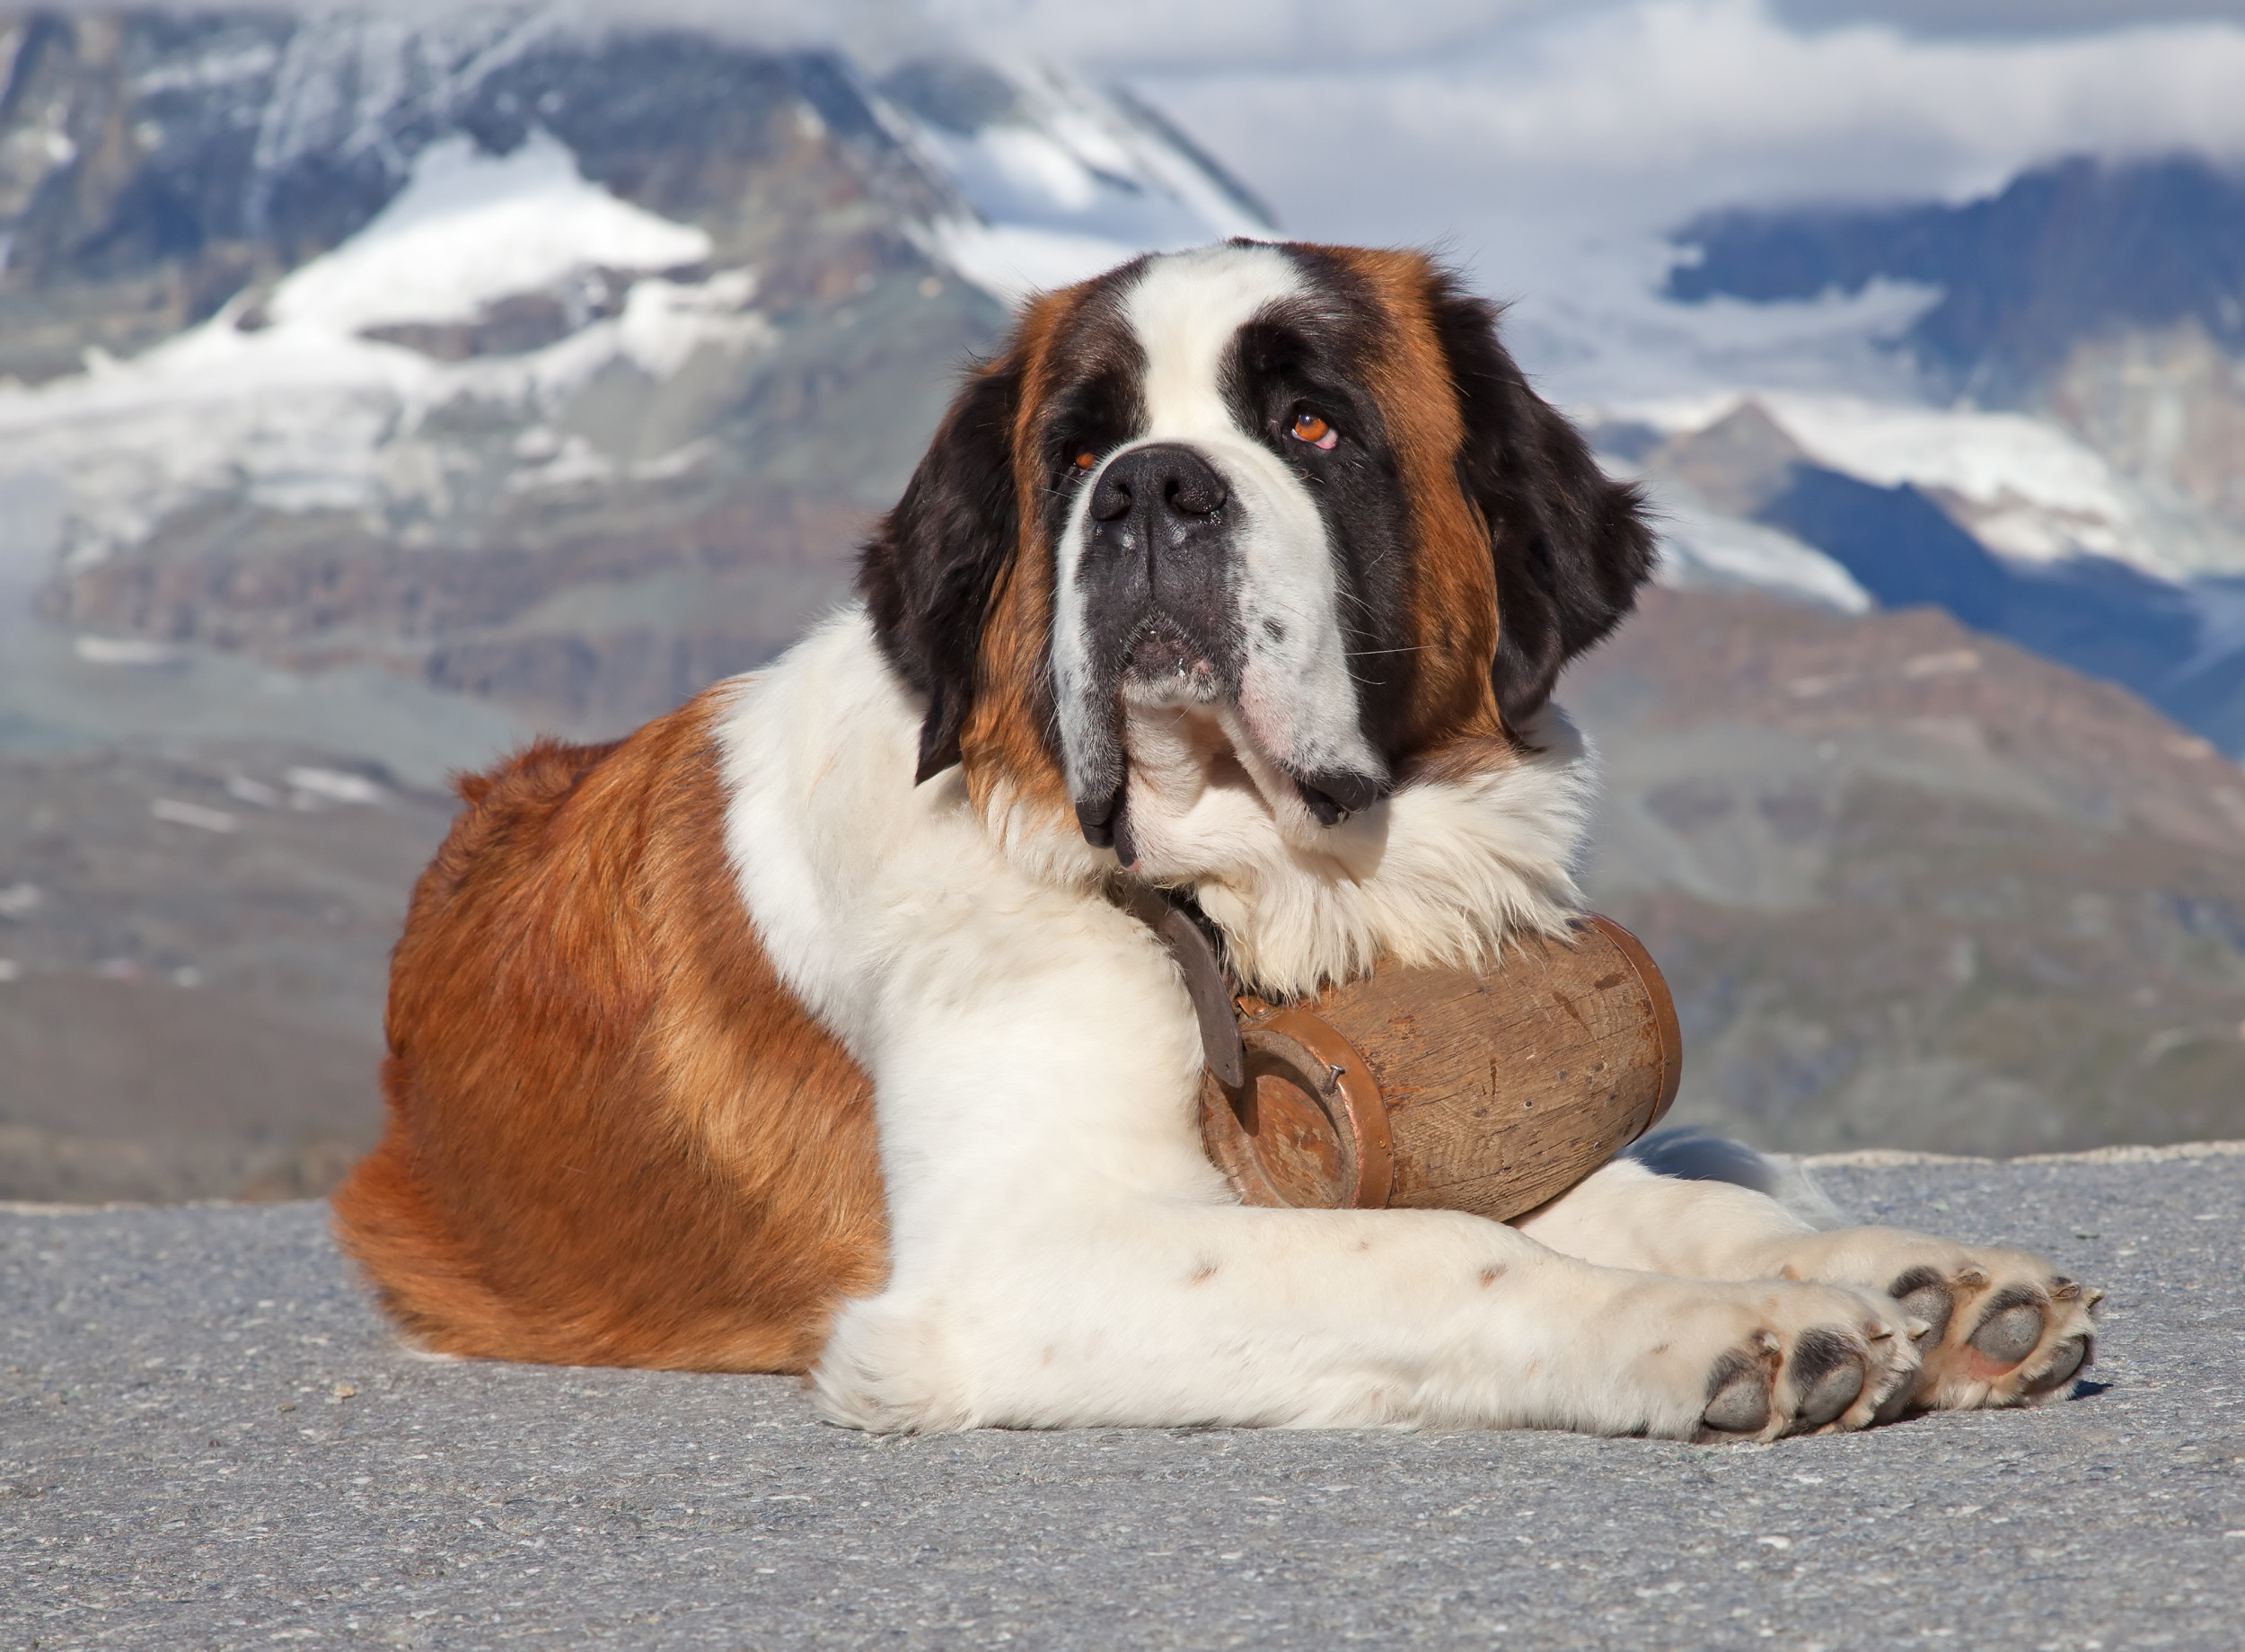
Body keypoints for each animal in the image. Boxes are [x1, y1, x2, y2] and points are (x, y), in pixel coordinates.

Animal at [332, 239, 2101, 1437]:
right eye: (1071, 453)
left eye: (1313, 428)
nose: (1150, 489)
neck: (1218, 892)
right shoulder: (1021, 1262)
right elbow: (1434, 1252)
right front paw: (1718, 1330)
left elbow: (1624, 1191)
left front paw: (1909, 1283)